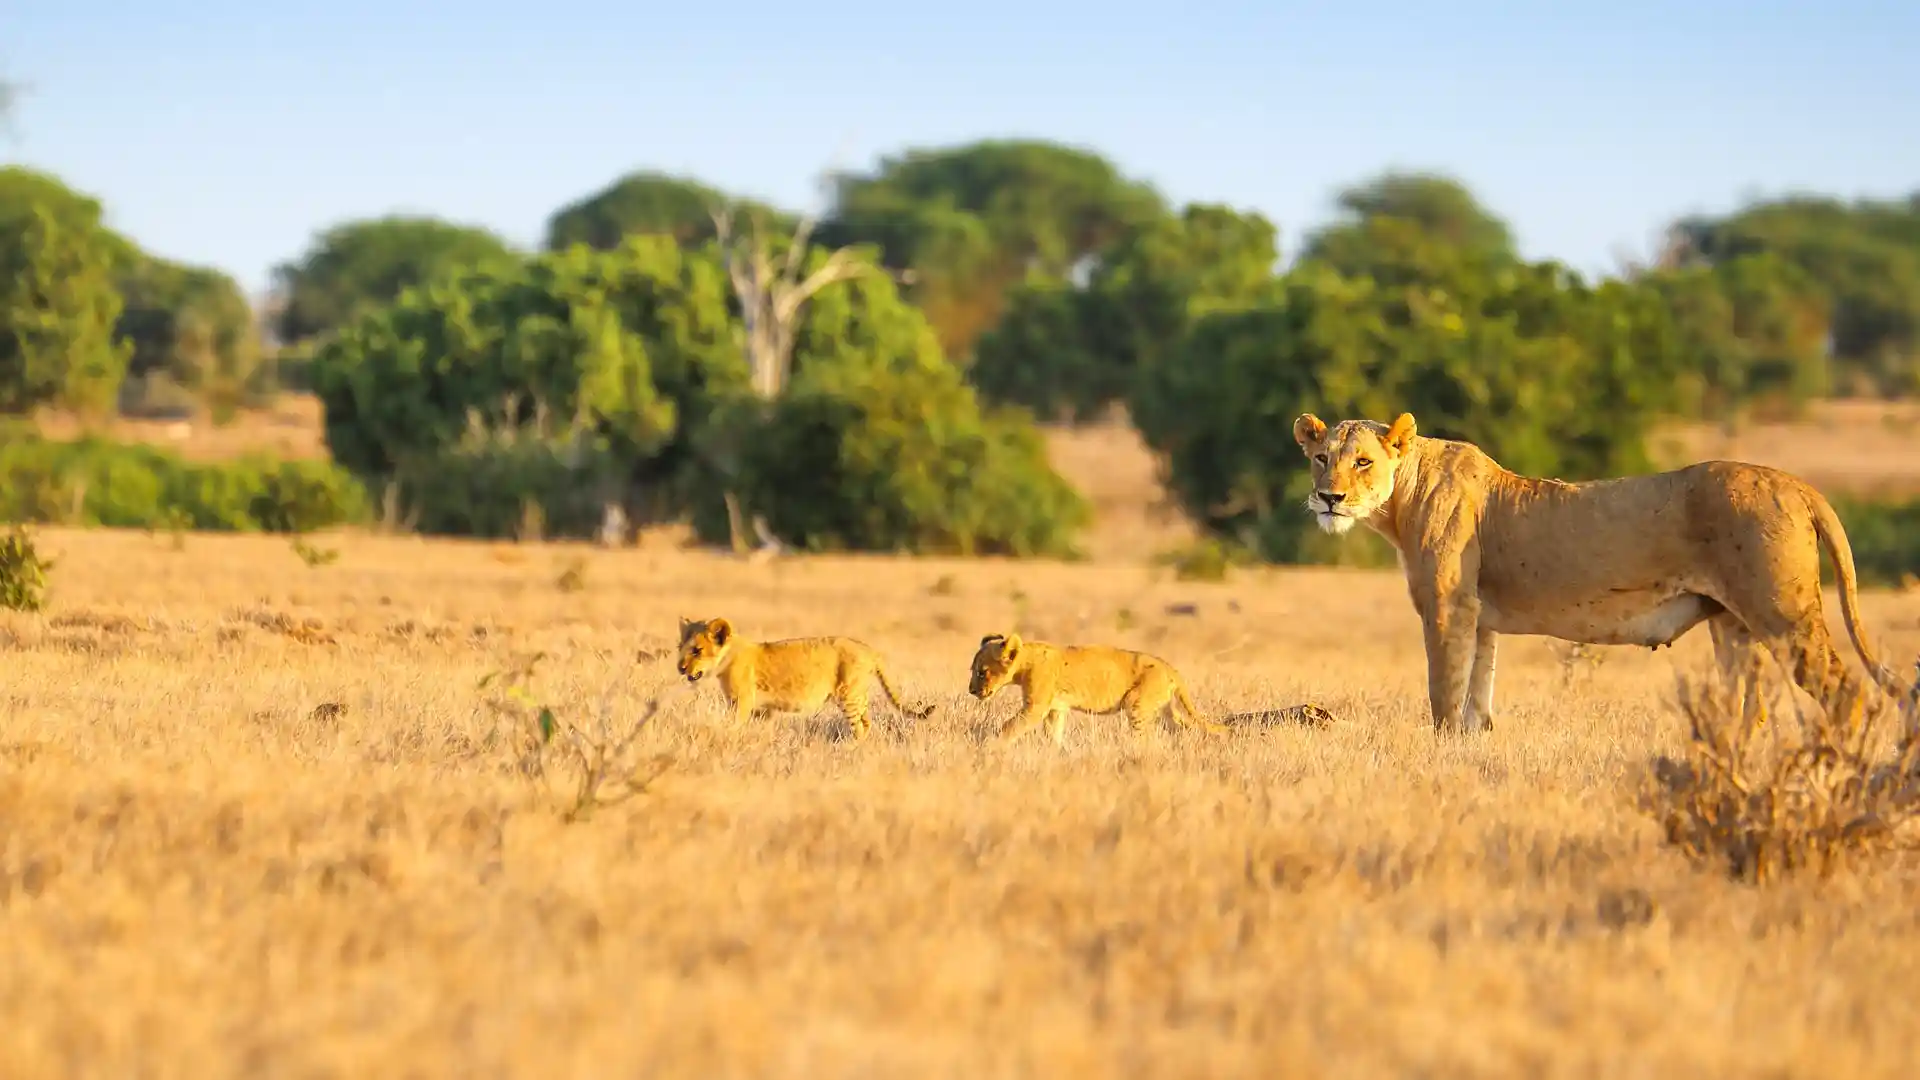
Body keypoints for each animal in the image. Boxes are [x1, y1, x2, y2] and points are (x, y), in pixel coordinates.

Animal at [675, 617, 934, 740]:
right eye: (681, 647)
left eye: (697, 650)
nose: (680, 668)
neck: (727, 658)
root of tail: (870, 649)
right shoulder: (763, 709)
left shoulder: (742, 702)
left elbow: (734, 725)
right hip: (858, 695)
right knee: (867, 722)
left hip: (848, 694)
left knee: (859, 726)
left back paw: (850, 751)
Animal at [967, 632, 1228, 744]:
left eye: (982, 672)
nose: (971, 691)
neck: (1025, 662)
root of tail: (1170, 668)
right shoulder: (1056, 709)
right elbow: (1053, 734)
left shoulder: (1035, 707)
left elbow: (1009, 727)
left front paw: (993, 747)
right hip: (1166, 710)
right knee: (1184, 728)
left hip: (1136, 703)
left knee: (1146, 738)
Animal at [1291, 410, 1912, 734]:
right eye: (1321, 459)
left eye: (1363, 461)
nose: (1329, 497)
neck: (1399, 501)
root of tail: (1797, 483)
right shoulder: (1480, 617)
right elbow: (1477, 701)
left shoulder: (1448, 608)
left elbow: (1443, 696)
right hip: (1732, 624)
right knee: (1750, 707)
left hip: (1783, 614)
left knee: (1844, 691)